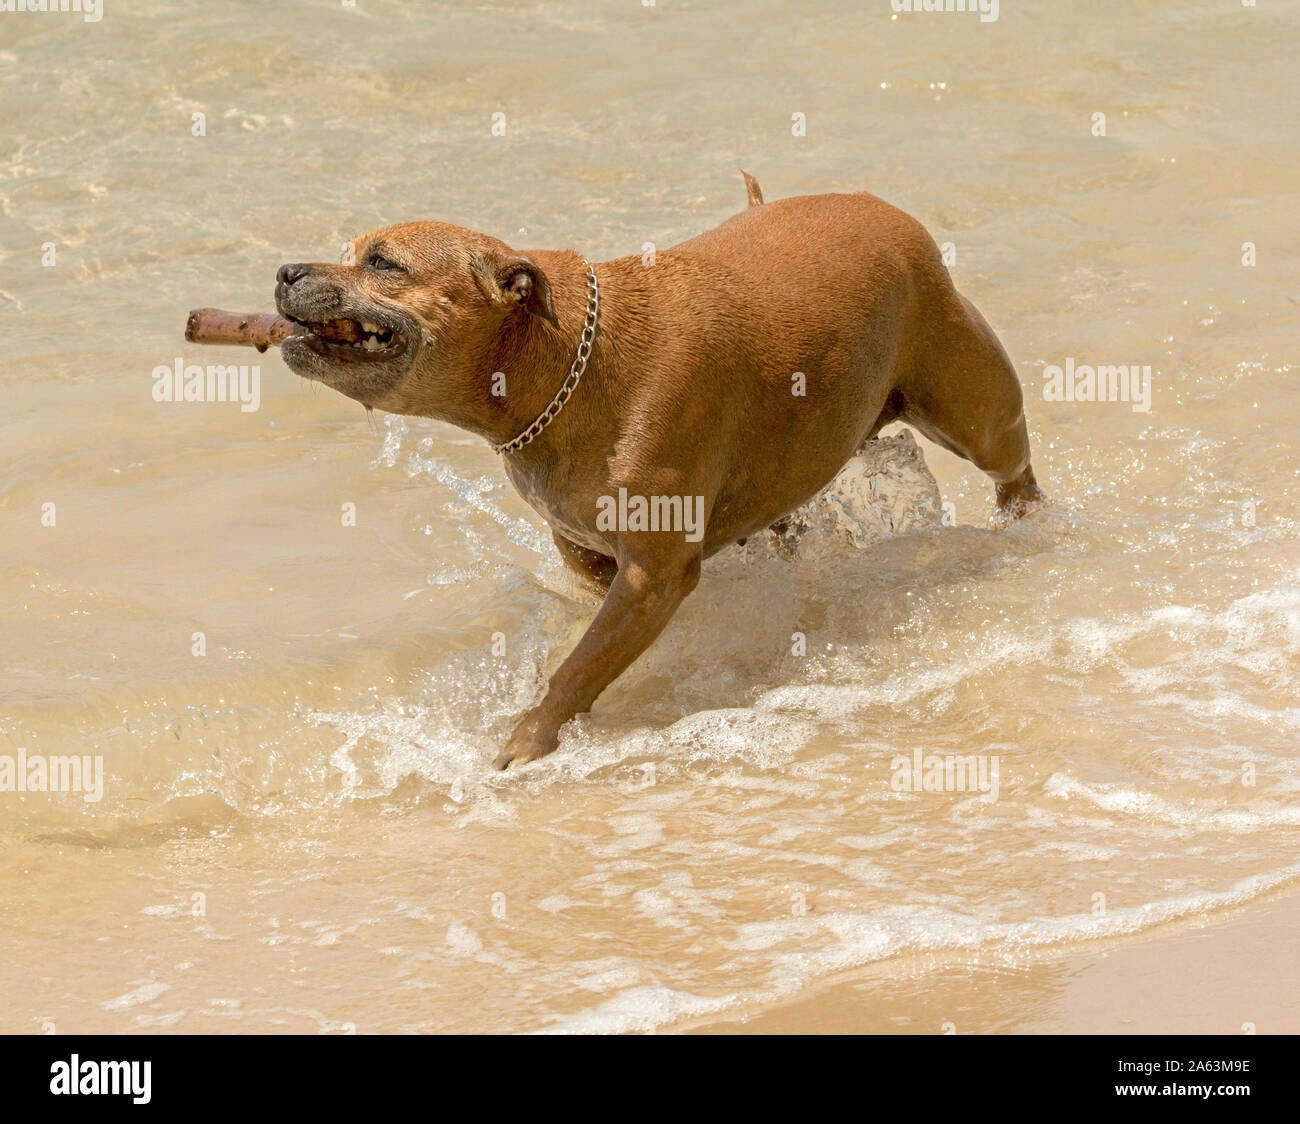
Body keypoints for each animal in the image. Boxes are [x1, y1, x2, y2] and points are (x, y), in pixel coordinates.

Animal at [276, 175, 1045, 769]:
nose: (285, 272)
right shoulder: (589, 552)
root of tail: (879, 205)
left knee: (1012, 467)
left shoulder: (651, 577)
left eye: (383, 263)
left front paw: (529, 742)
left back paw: (1030, 528)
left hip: (975, 413)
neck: (564, 366)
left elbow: (579, 667)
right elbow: (587, 630)